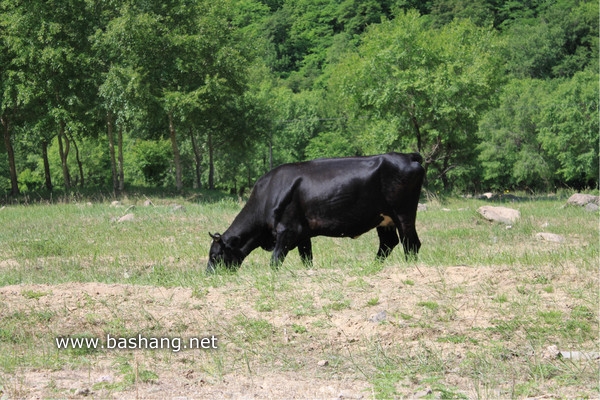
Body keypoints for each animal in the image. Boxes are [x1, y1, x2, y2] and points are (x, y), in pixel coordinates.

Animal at [209, 152, 424, 272]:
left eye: (215, 256)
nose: (209, 275)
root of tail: (407, 156)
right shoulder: (303, 234)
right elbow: (307, 258)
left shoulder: (287, 231)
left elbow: (275, 260)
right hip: (384, 219)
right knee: (388, 243)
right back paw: (373, 266)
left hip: (403, 213)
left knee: (410, 243)